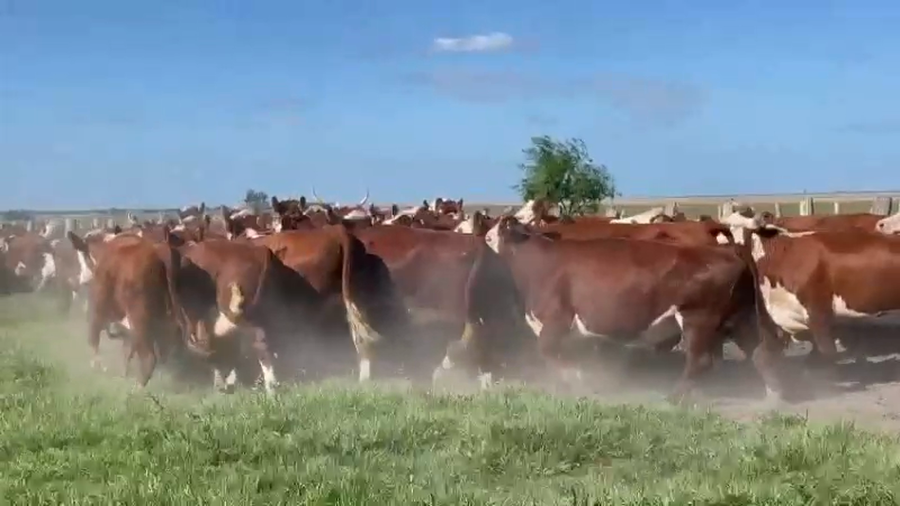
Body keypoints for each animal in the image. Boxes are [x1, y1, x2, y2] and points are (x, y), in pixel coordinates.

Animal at [439, 216, 786, 405]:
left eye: (488, 235)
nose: (477, 244)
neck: (537, 260)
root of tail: (732, 250)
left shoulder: (555, 319)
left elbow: (549, 351)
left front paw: (579, 379)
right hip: (740, 319)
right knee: (760, 354)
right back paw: (773, 398)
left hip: (699, 318)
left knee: (700, 361)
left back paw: (675, 397)